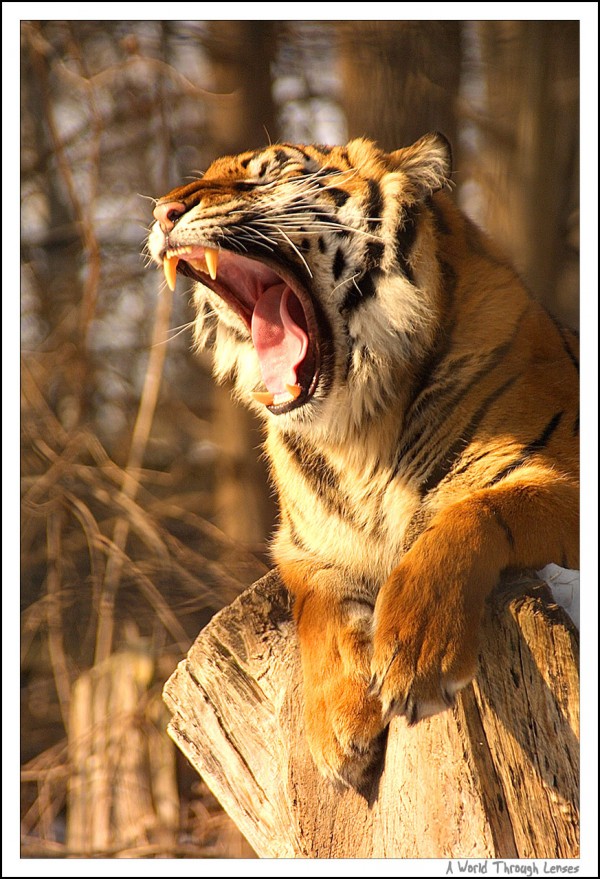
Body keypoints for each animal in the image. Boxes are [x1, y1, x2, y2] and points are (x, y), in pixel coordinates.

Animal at [148, 134, 580, 788]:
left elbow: (467, 516)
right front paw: (337, 725)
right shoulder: (305, 548)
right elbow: (318, 608)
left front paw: (416, 651)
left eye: (265, 177)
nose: (163, 212)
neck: (358, 434)